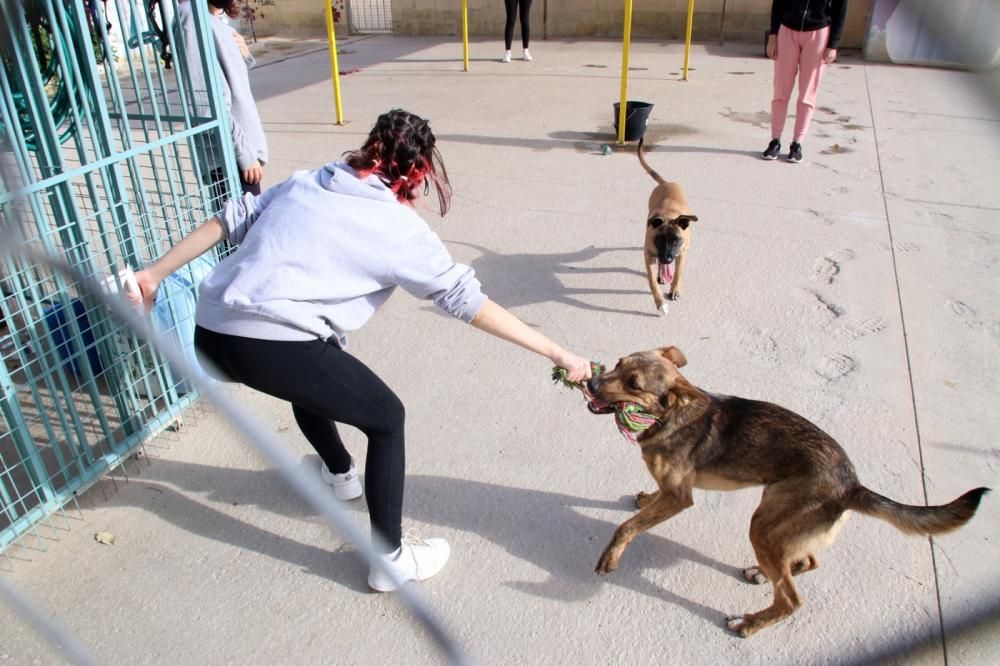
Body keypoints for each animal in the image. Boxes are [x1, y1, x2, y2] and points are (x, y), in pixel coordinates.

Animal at [588, 344, 988, 636]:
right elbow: (648, 504)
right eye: (618, 363)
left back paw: (749, 623)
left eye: (634, 383)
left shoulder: (679, 498)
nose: (590, 385)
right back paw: (764, 575)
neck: (668, 414)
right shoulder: (671, 492)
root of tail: (852, 484)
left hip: (763, 525)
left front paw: (611, 555)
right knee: (807, 561)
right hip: (778, 526)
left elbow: (628, 526)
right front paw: (645, 498)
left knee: (792, 600)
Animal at [636, 137, 700, 314]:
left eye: (677, 239)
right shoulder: (649, 254)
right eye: (659, 239)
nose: (667, 258)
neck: (669, 216)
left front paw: (675, 289)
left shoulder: (681, 253)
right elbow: (652, 281)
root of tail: (666, 182)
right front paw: (660, 303)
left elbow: (678, 272)